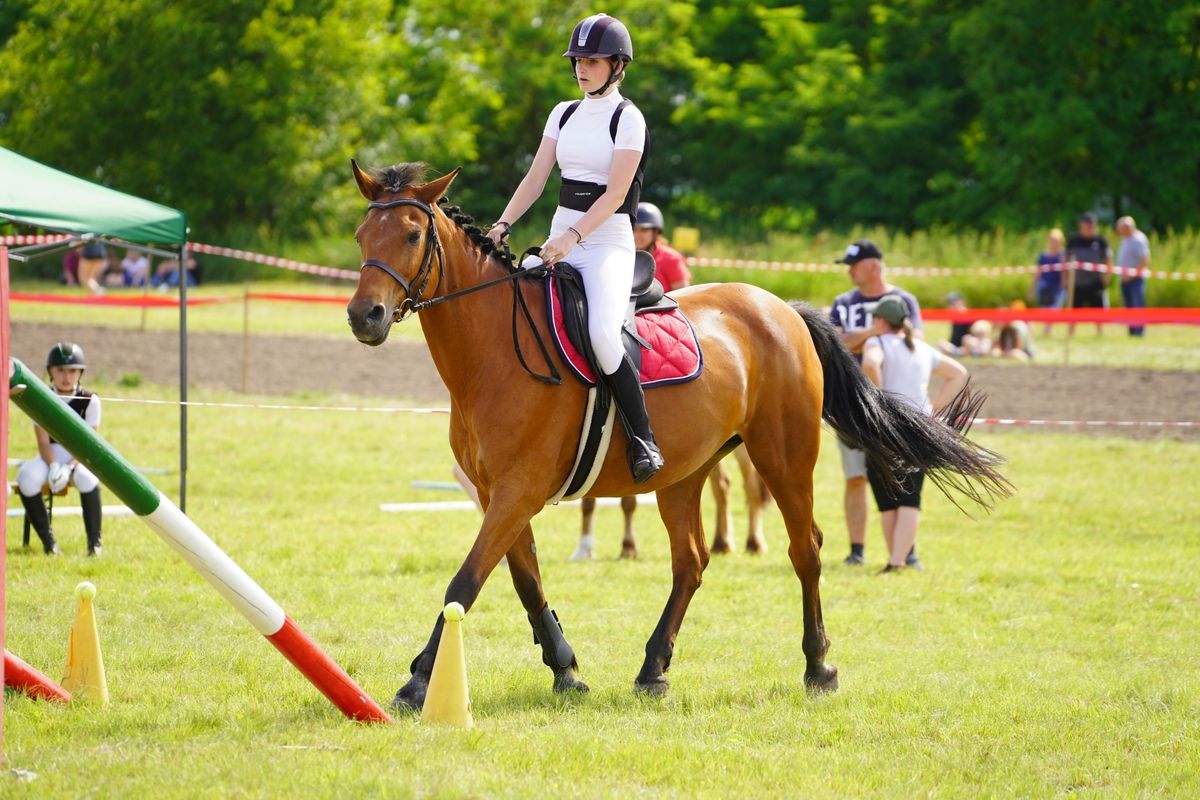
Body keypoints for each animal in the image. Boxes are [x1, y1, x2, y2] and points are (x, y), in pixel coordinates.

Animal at [348, 160, 1012, 705]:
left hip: (783, 456)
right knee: (690, 562)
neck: (492, 352)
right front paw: (565, 670)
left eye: (411, 236)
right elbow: (523, 579)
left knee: (806, 549)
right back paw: (653, 669)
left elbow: (465, 580)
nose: (364, 317)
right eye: (360, 237)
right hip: (684, 473)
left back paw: (818, 667)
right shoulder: (499, 494)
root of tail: (781, 307)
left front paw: (418, 682)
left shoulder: (517, 491)